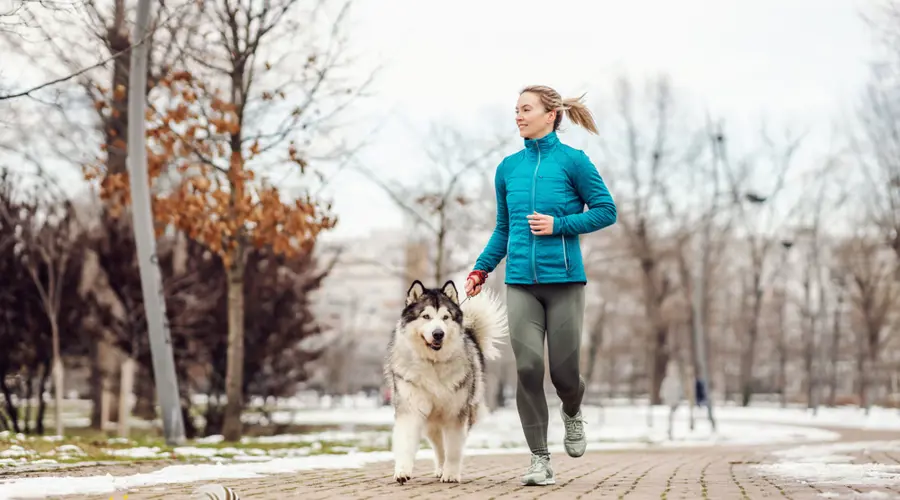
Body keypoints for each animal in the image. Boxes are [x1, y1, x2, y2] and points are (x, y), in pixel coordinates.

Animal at [382, 278, 506, 484]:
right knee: (439, 445)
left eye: (445, 317)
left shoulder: (456, 414)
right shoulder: (410, 408)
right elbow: (406, 441)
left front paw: (451, 474)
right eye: (426, 316)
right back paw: (439, 468)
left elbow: (454, 449)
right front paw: (402, 471)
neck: (433, 362)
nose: (438, 333)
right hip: (431, 422)